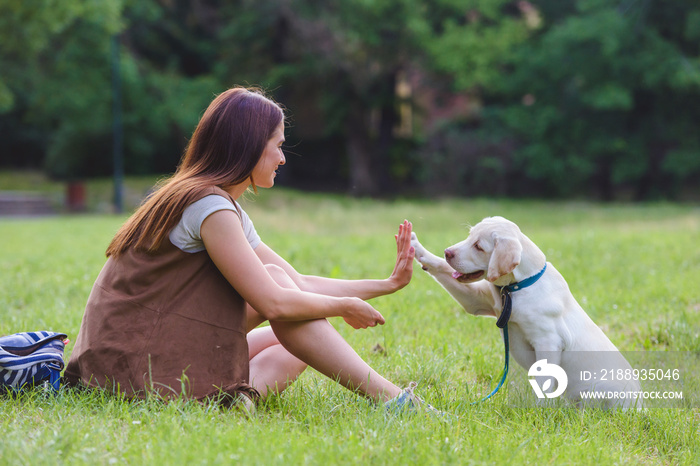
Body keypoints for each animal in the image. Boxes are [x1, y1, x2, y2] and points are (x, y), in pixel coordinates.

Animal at [412, 217, 644, 410]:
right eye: (469, 236)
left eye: (478, 246)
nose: (447, 252)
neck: (519, 286)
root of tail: (641, 408)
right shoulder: (476, 300)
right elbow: (440, 268)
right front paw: (415, 246)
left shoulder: (548, 341)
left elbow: (543, 382)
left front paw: (539, 412)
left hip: (598, 389)